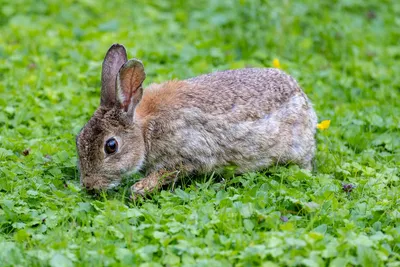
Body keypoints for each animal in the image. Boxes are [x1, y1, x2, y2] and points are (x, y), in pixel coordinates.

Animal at [76, 44, 318, 199]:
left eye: (111, 146)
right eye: (78, 139)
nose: (89, 185)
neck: (144, 130)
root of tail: (303, 98)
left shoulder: (188, 153)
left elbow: (169, 171)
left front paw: (140, 189)